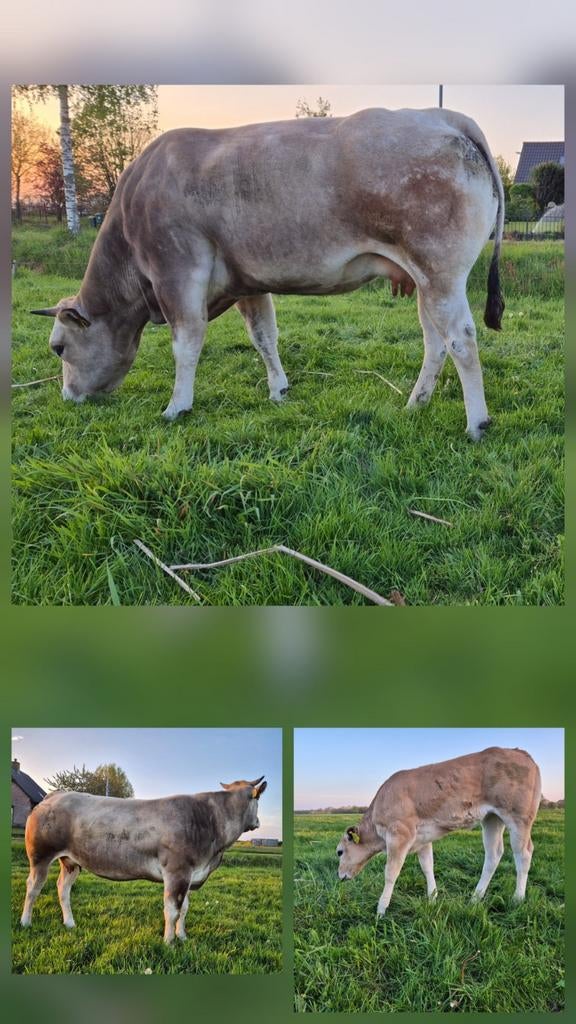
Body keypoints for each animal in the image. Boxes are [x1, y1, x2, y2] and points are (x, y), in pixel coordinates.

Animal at [20, 775, 267, 943]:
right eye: (258, 800)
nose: (258, 822)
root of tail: (55, 795)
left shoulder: (191, 874)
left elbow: (184, 908)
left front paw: (183, 937)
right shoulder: (177, 871)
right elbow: (172, 910)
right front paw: (169, 942)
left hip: (71, 861)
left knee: (63, 888)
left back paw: (70, 923)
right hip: (40, 855)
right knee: (33, 887)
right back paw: (25, 922)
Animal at [30, 107, 504, 440]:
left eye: (58, 348)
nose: (68, 396)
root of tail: (440, 114)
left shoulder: (177, 271)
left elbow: (186, 345)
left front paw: (177, 406)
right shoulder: (247, 282)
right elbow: (264, 336)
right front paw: (279, 390)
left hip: (440, 272)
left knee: (460, 339)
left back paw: (476, 423)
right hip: (424, 279)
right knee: (435, 342)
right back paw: (416, 403)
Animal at [336, 747, 541, 915]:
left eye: (339, 852)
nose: (339, 876)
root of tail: (520, 752)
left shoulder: (400, 834)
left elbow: (391, 872)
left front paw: (381, 909)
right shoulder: (421, 839)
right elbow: (427, 866)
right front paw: (432, 898)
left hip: (518, 817)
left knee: (523, 854)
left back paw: (517, 898)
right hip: (492, 818)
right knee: (494, 854)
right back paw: (475, 898)